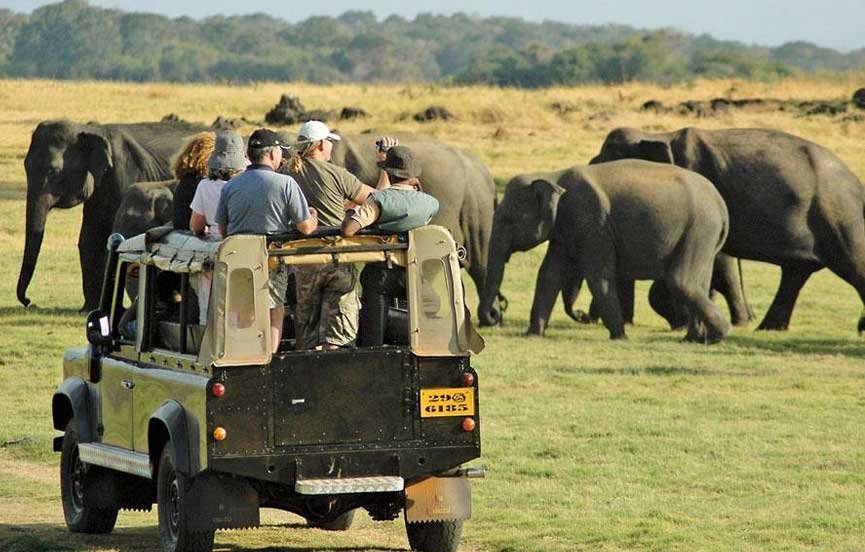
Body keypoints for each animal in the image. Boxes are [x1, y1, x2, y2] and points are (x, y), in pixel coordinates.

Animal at [18, 120, 207, 311]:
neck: (90, 130)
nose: (29, 302)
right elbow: (89, 238)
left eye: (53, 172)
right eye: (25, 166)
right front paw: (89, 309)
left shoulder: (125, 175)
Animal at [478, 159, 732, 342]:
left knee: (681, 281)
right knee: (700, 283)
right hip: (704, 237)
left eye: (508, 220)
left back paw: (720, 333)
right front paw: (532, 334)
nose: (495, 315)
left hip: (699, 229)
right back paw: (694, 339)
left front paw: (620, 337)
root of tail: (721, 204)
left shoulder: (593, 223)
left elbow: (598, 276)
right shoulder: (564, 230)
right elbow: (549, 275)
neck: (553, 176)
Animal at [590, 126, 865, 332]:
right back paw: (768, 327)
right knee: (796, 272)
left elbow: (718, 260)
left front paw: (683, 320)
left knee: (851, 263)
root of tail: (856, 182)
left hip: (838, 216)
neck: (659, 135)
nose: (585, 317)